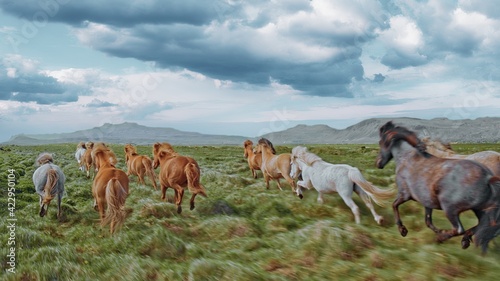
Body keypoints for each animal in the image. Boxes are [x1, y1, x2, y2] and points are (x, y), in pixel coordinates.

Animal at [376, 120, 500, 252]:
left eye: (380, 142)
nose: (378, 163)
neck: (407, 158)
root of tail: (487, 177)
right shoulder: (427, 202)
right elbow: (428, 221)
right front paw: (438, 231)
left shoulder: (404, 195)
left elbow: (394, 205)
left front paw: (403, 230)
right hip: (479, 209)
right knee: (485, 224)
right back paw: (464, 241)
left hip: (450, 208)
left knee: (460, 229)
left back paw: (442, 238)